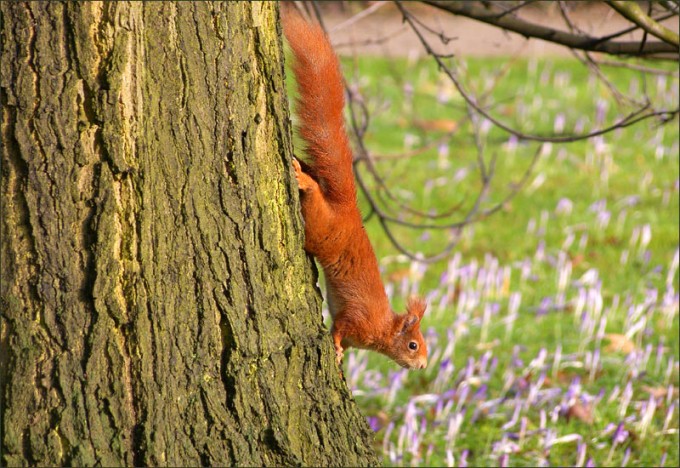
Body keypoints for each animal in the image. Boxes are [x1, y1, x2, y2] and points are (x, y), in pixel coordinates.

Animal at [282, 8, 428, 370]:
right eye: (413, 345)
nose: (422, 366)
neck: (383, 327)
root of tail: (348, 208)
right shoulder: (357, 319)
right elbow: (339, 328)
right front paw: (334, 348)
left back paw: (303, 167)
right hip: (322, 229)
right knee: (314, 200)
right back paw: (304, 180)